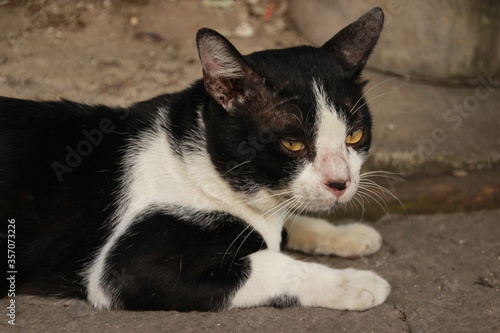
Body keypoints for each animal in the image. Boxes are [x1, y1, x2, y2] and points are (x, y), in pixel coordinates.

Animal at [0, 7, 390, 312]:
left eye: (354, 136)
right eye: (292, 143)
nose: (340, 183)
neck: (202, 164)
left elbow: (286, 224)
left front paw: (348, 234)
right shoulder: (128, 269)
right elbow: (272, 263)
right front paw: (357, 284)